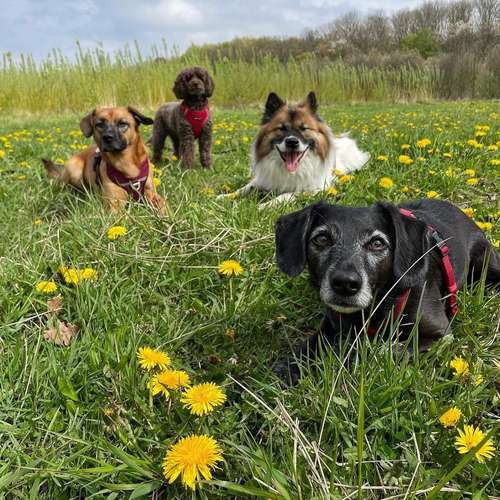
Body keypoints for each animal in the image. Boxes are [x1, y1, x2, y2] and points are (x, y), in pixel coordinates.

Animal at [221, 91, 370, 206]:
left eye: (303, 128)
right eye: (281, 128)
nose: (292, 142)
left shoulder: (315, 188)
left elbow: (286, 194)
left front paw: (266, 204)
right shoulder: (263, 179)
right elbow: (246, 188)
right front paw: (226, 196)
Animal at [274, 199, 500, 382]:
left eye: (377, 243)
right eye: (321, 239)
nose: (345, 283)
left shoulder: (440, 335)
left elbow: (385, 350)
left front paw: (345, 356)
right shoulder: (331, 324)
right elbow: (310, 345)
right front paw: (288, 367)